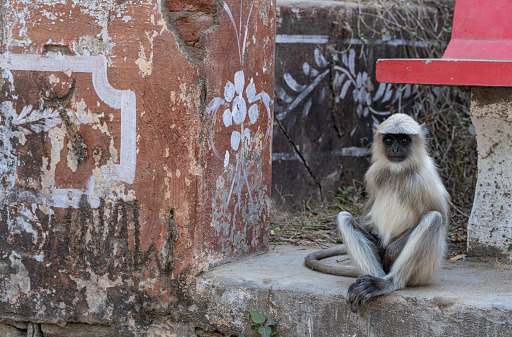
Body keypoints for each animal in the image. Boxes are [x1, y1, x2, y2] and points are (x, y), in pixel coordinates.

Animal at [304, 113, 448, 312]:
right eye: (389, 140)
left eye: (404, 140)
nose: (395, 149)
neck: (398, 172)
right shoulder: (374, 172)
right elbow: (367, 212)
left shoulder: (425, 178)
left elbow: (442, 217)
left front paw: (391, 252)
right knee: (345, 218)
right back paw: (370, 281)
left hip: (425, 271)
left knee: (434, 218)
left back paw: (387, 282)